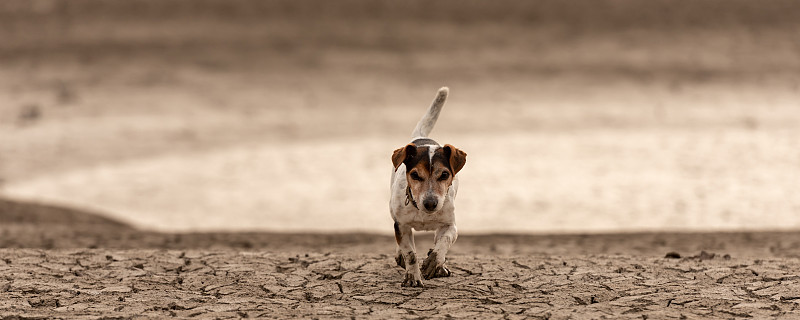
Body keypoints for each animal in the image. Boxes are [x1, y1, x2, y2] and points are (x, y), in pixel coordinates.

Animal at [390, 87, 466, 288]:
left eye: (444, 175)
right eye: (415, 175)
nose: (430, 203)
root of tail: (421, 137)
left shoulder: (450, 224)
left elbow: (444, 242)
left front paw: (434, 262)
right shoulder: (401, 225)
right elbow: (410, 253)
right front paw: (412, 276)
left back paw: (440, 266)